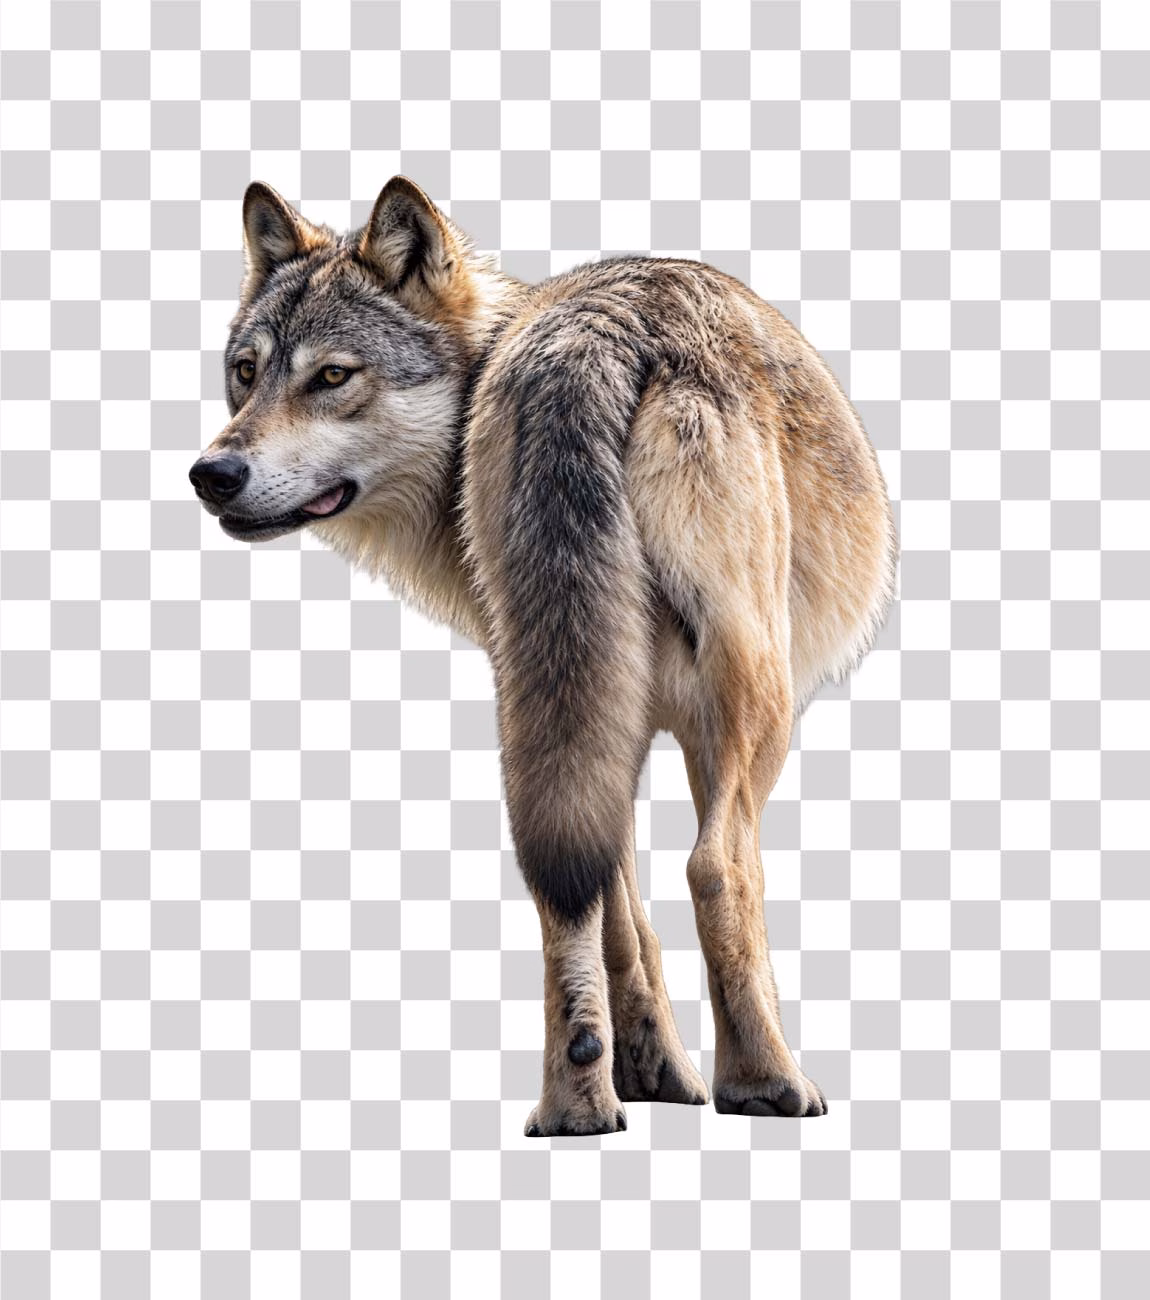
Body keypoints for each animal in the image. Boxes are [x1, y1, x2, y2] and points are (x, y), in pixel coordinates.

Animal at [190, 177, 897, 1136]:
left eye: (331, 376)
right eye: (247, 371)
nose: (210, 475)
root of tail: (590, 337)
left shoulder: (605, 710)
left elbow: (617, 915)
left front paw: (649, 1072)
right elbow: (651, 906)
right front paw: (674, 1073)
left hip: (560, 693)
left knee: (561, 880)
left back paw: (574, 1107)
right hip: (759, 701)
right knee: (717, 868)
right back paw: (765, 1082)